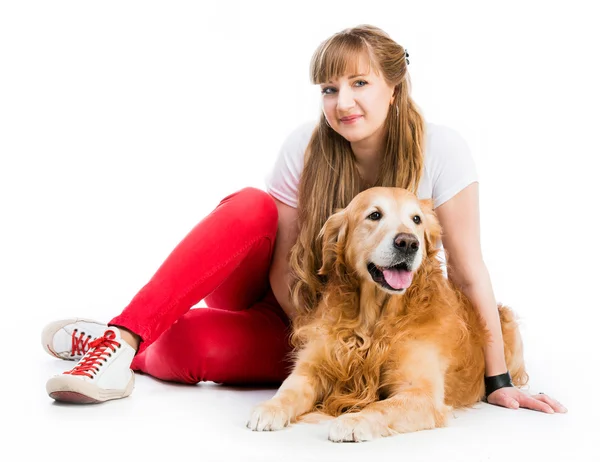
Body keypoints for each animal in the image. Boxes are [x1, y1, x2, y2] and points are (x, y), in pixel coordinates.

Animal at [246, 187, 528, 440]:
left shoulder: (421, 392)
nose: (408, 243)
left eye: (416, 219)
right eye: (374, 215)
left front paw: (353, 420)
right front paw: (268, 408)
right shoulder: (311, 368)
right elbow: (288, 390)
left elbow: (381, 406)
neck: (374, 320)